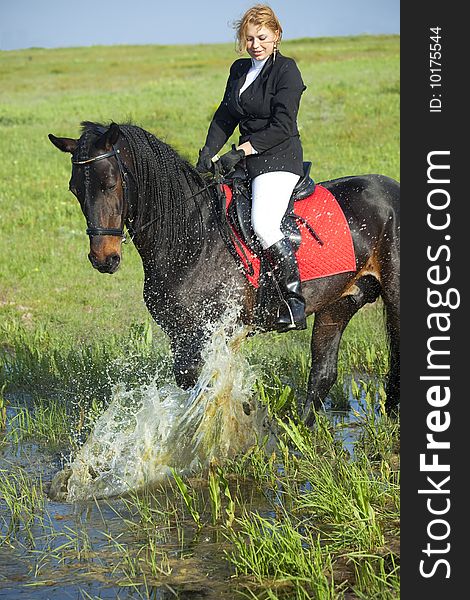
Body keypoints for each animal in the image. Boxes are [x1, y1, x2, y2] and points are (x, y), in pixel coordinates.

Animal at [48, 120, 400, 422]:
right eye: (75, 189)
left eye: (109, 184)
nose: (103, 258)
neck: (194, 237)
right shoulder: (180, 335)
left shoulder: (207, 333)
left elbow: (205, 392)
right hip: (338, 303)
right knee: (323, 374)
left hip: (393, 295)